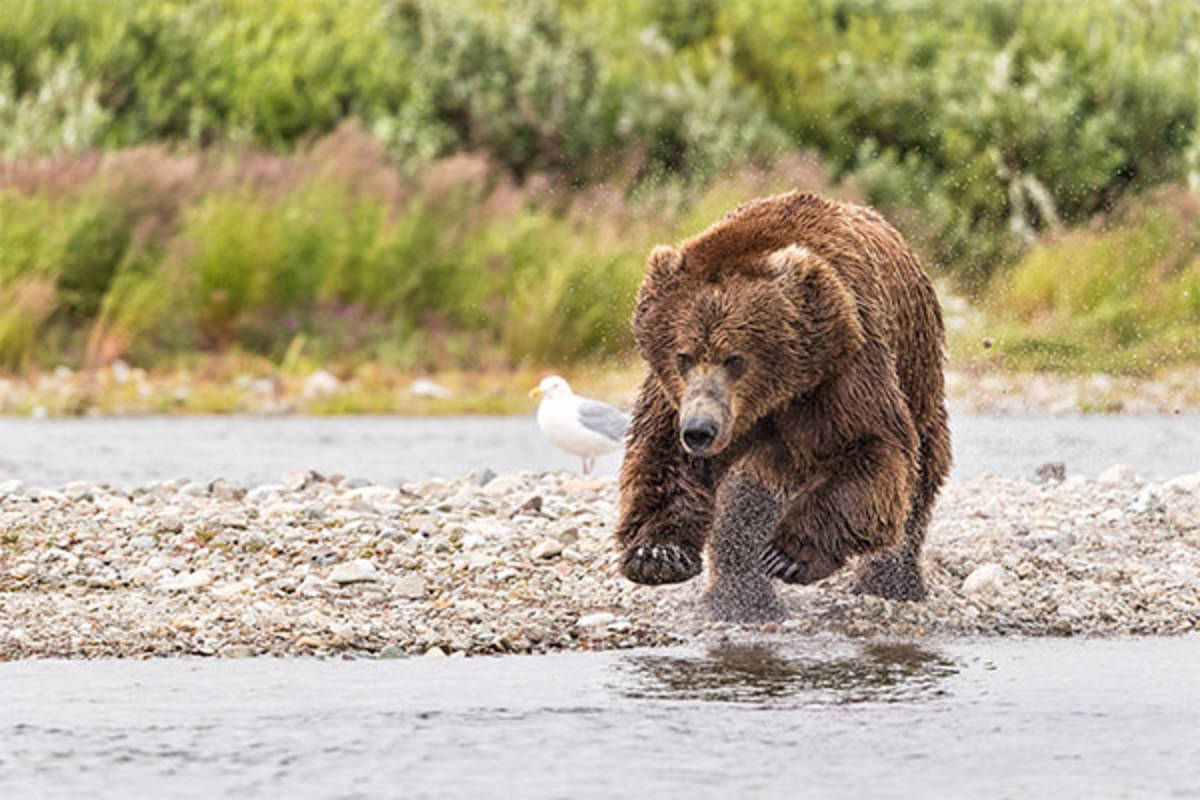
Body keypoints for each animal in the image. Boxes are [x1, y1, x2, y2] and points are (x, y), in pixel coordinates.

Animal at [619, 190, 945, 623]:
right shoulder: (677, 396)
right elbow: (665, 455)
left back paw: (892, 583)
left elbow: (870, 447)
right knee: (744, 499)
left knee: (921, 476)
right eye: (683, 356)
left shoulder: (842, 366)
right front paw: (656, 554)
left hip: (919, 379)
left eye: (735, 358)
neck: (774, 395)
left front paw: (787, 555)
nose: (700, 430)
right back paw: (739, 599)